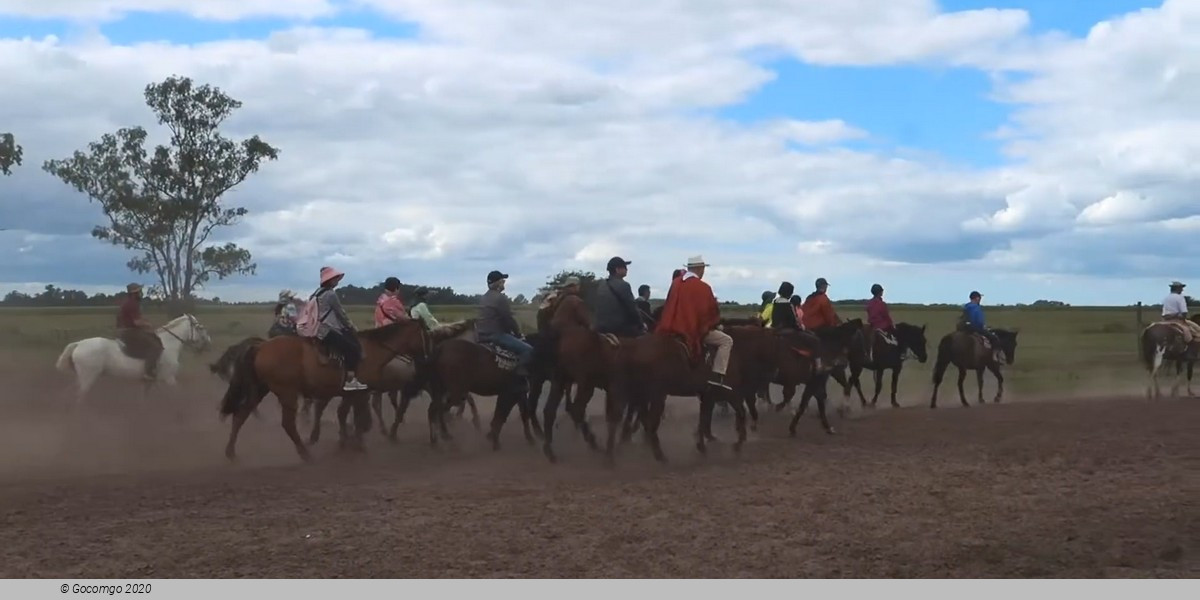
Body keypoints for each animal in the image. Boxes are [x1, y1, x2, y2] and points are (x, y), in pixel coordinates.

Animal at [55, 314, 212, 403]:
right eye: (200, 328)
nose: (208, 344)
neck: (169, 344)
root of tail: (78, 344)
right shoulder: (169, 379)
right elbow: (179, 394)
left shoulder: (147, 382)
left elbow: (143, 399)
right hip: (88, 378)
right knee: (79, 398)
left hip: (81, 378)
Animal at [219, 319, 436, 463]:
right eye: (425, 334)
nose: (428, 357)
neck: (371, 351)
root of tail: (260, 346)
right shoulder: (361, 393)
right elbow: (360, 418)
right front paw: (357, 444)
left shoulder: (349, 393)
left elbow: (345, 415)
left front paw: (346, 442)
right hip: (287, 394)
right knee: (287, 424)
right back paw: (305, 454)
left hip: (260, 390)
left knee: (241, 415)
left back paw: (230, 452)